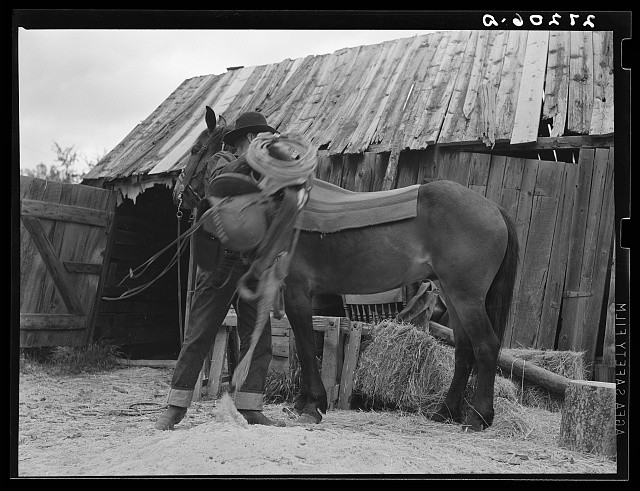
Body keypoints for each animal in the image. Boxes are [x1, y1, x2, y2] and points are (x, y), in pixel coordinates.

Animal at [184, 107, 519, 431]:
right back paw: (445, 412)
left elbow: (306, 344)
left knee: (486, 345)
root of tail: (493, 207)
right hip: (453, 293)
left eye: (197, 149)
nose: (181, 194)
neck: (282, 203)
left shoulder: (297, 291)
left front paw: (313, 405)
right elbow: (304, 344)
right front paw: (304, 402)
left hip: (466, 296)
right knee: (465, 350)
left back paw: (479, 416)